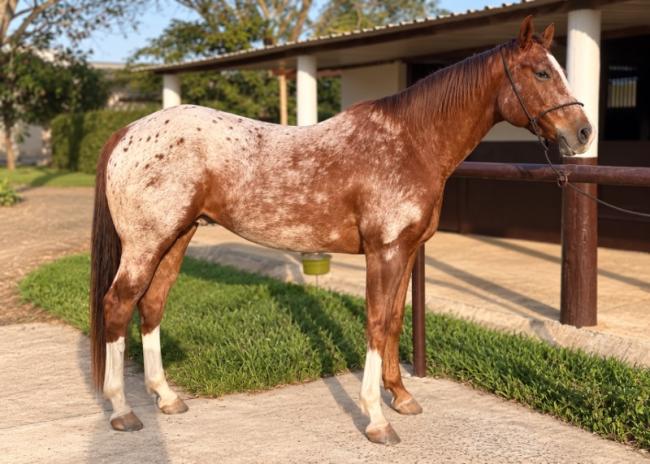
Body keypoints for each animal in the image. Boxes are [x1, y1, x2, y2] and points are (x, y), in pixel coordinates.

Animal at [90, 15, 593, 445]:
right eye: (541, 73)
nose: (583, 132)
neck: (410, 142)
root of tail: (128, 132)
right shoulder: (384, 251)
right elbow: (375, 323)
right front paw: (376, 419)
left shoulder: (406, 251)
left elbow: (393, 322)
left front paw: (402, 397)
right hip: (146, 243)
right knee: (117, 305)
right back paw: (122, 411)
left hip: (177, 238)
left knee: (151, 305)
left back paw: (166, 398)